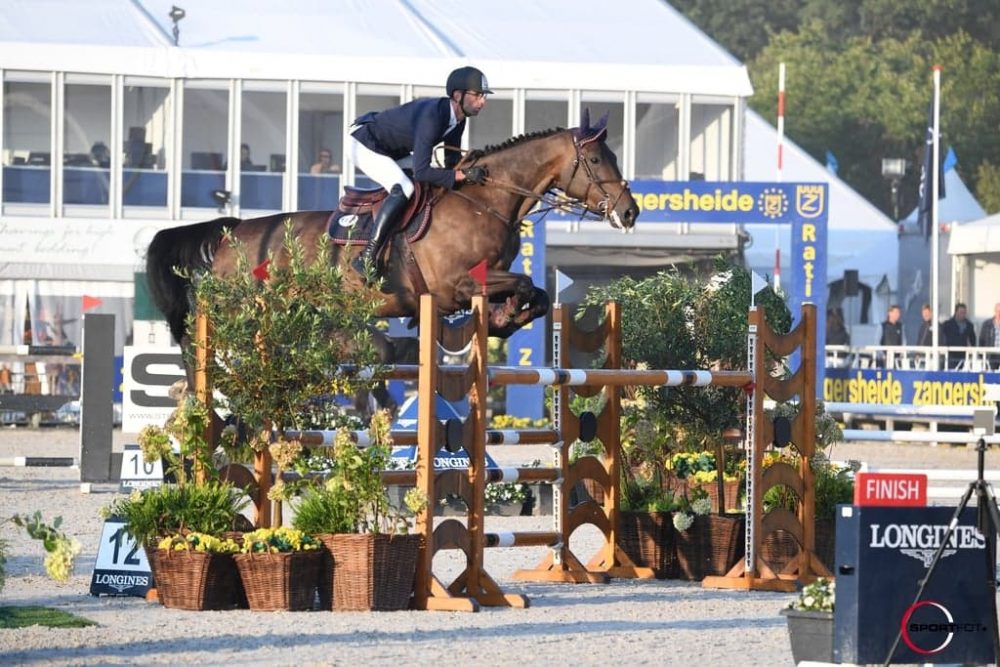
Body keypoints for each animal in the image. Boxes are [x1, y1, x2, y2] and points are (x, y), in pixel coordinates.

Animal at [145, 111, 636, 360]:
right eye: (596, 160)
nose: (629, 212)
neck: (485, 199)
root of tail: (232, 232)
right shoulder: (456, 284)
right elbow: (525, 285)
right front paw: (503, 317)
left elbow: (536, 295)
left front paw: (503, 319)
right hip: (243, 313)